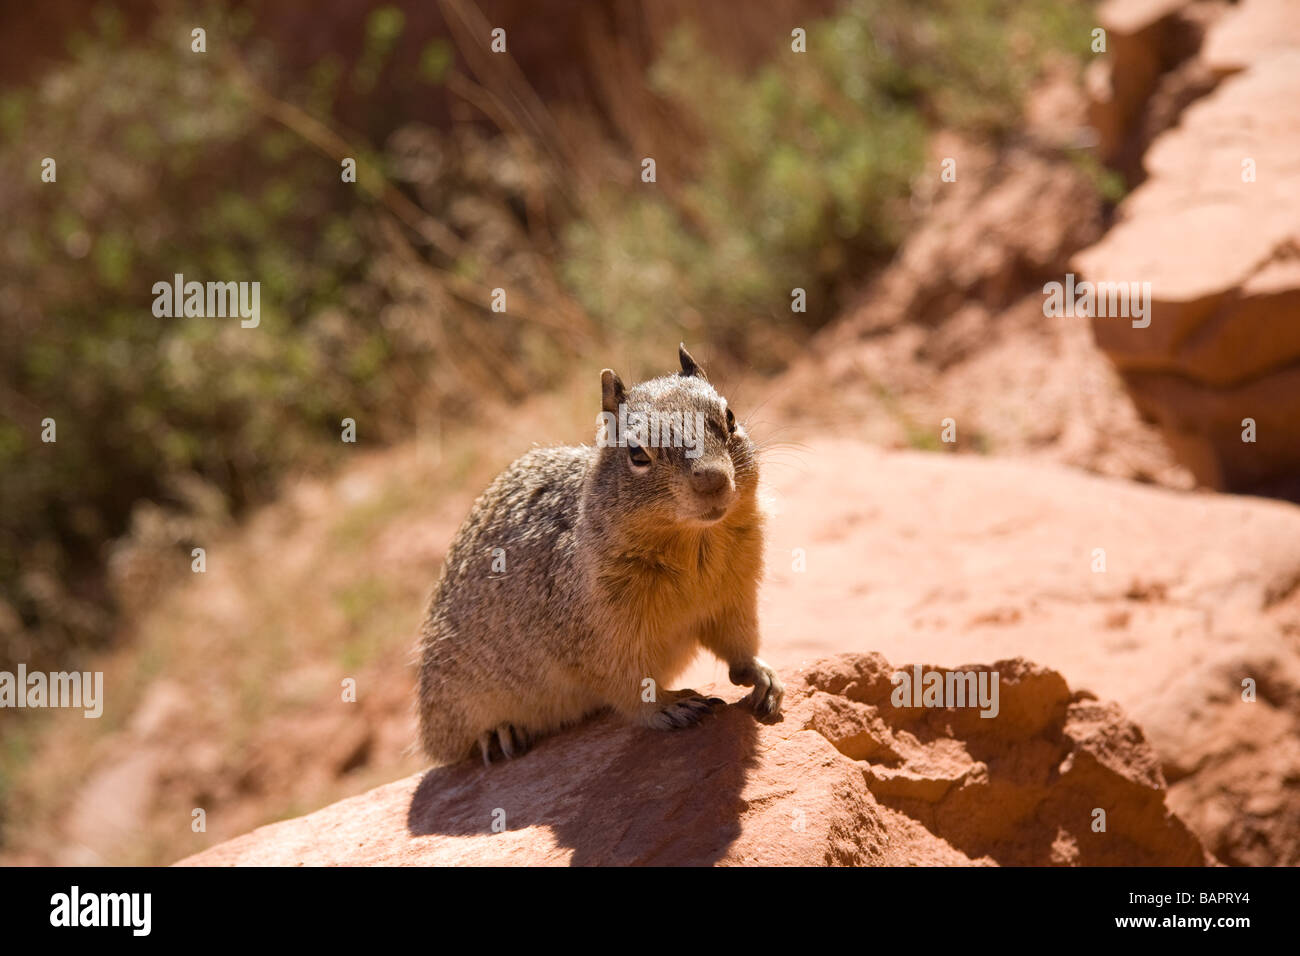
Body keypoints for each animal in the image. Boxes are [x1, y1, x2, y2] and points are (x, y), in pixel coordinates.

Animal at [416, 344, 783, 765]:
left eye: (730, 417)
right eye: (637, 453)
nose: (714, 480)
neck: (695, 547)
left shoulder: (733, 599)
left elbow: (738, 644)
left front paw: (762, 675)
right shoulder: (603, 639)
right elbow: (630, 685)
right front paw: (670, 706)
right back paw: (497, 735)